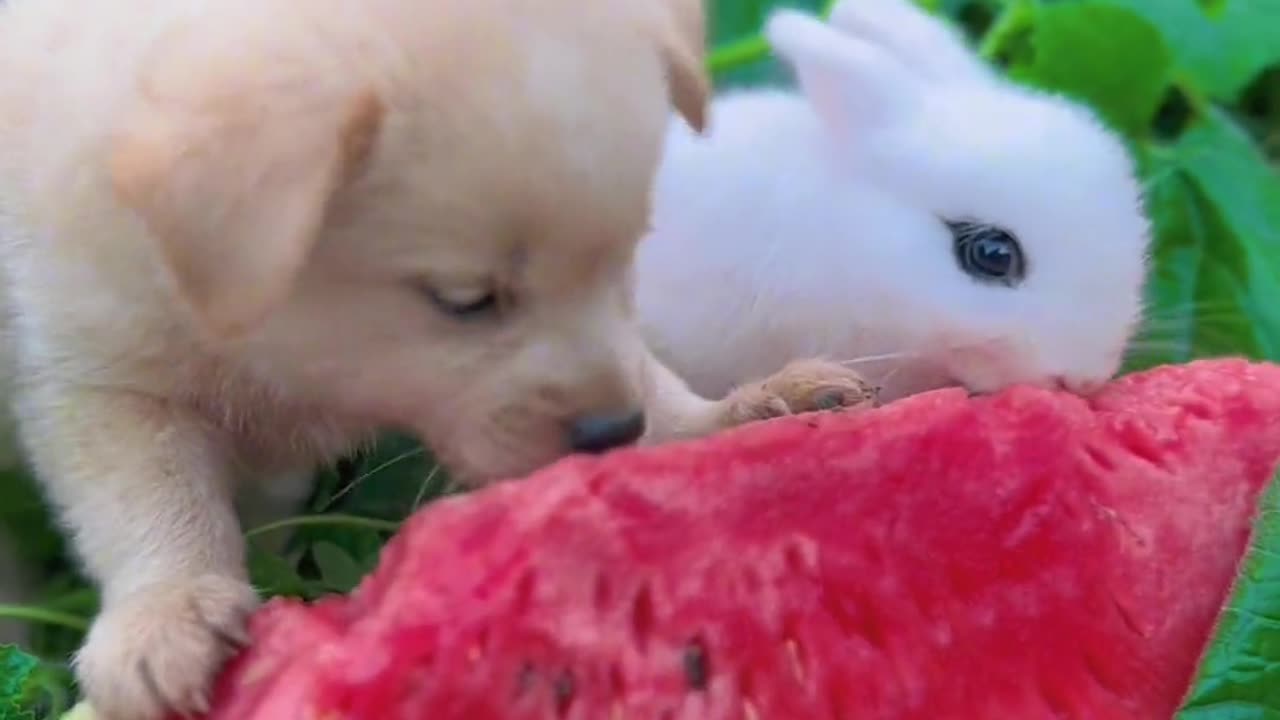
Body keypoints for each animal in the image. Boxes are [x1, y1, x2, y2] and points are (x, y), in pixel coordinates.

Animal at [0, 0, 870, 712]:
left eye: (627, 256)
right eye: (464, 300)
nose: (610, 434)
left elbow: (655, 378)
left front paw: (737, 413)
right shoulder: (96, 380)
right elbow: (151, 500)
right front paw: (167, 613)